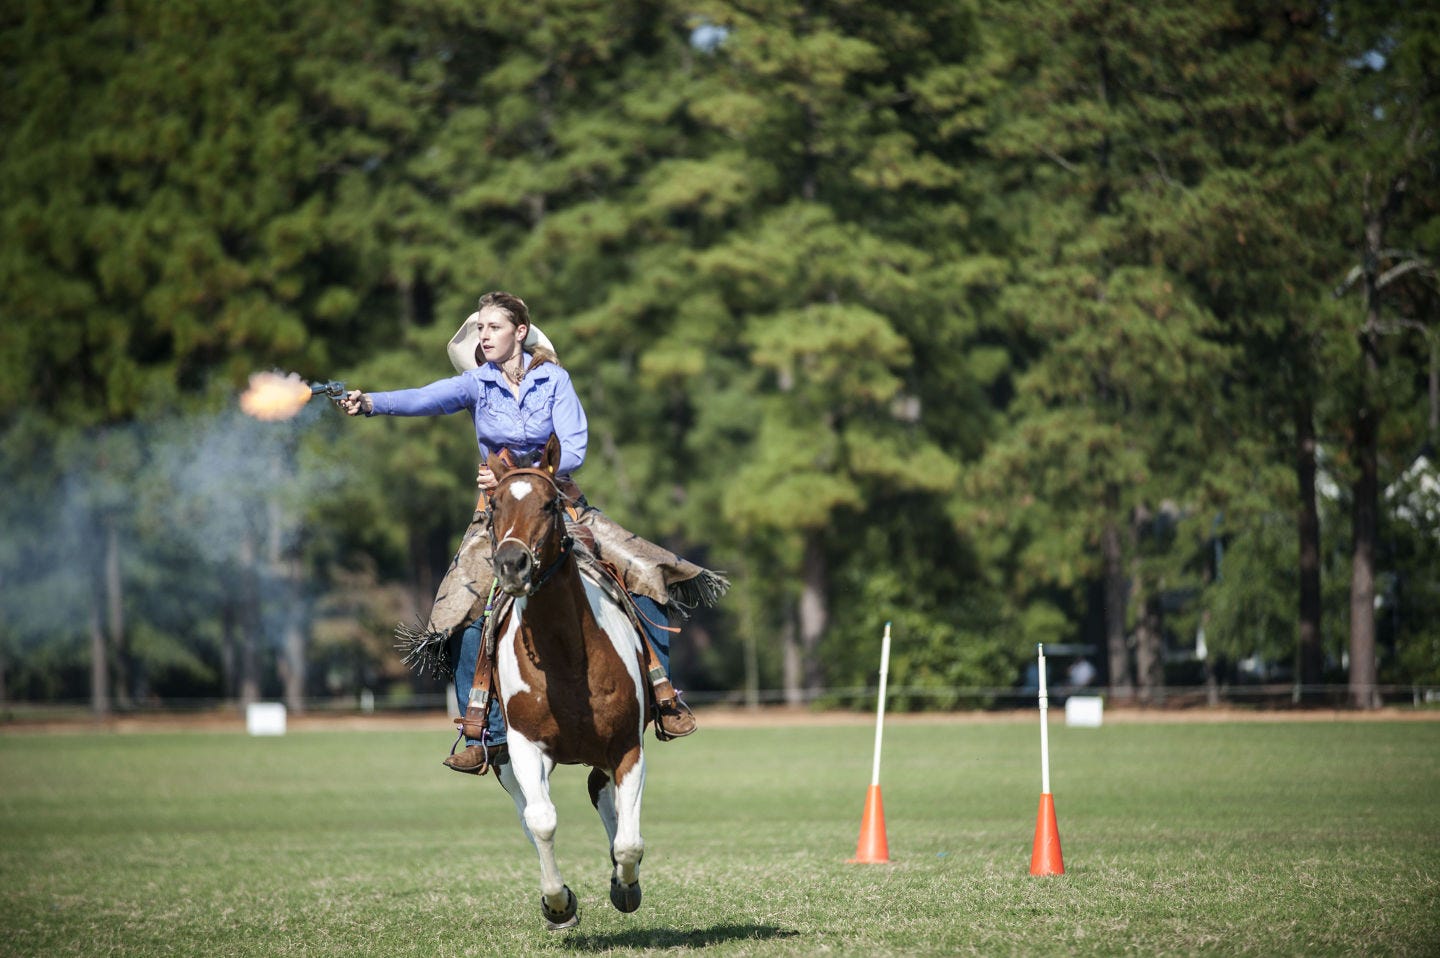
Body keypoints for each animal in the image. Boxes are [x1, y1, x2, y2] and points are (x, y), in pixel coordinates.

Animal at [486, 432, 650, 927]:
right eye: (494, 504)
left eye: (550, 504)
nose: (512, 564)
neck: (566, 661)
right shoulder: (523, 746)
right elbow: (541, 820)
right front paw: (559, 903)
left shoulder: (627, 746)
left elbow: (629, 841)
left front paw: (625, 886)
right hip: (503, 759)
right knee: (529, 813)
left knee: (602, 794)